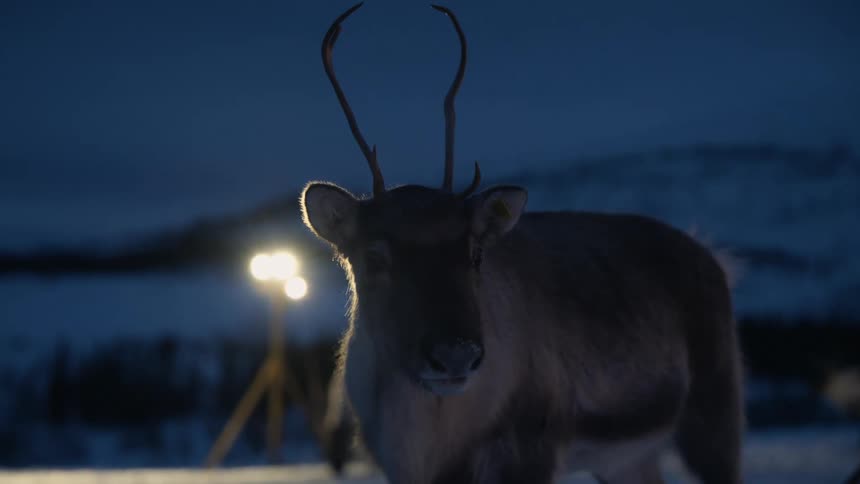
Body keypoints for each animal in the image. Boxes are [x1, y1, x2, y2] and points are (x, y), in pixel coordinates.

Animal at [300, 4, 745, 483]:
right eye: (374, 256)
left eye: (475, 253)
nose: (455, 356)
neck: (427, 443)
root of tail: (713, 257)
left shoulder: (528, 449)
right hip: (627, 458)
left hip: (715, 413)